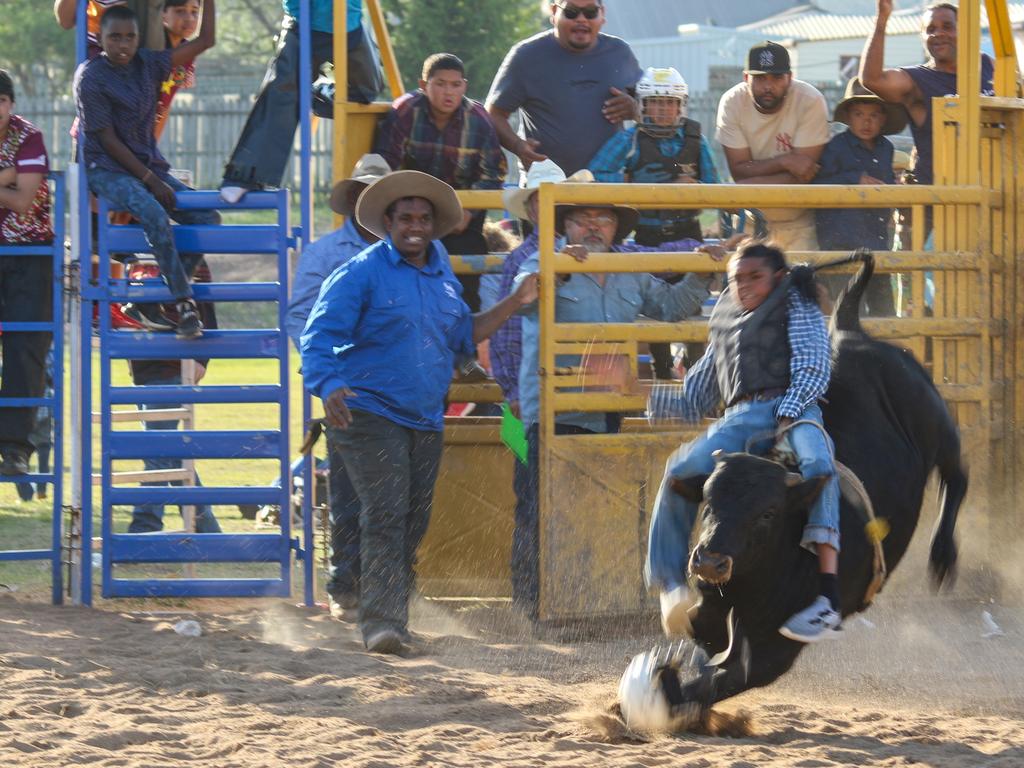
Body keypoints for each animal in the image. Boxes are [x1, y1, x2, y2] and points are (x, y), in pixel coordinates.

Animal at [667, 257, 962, 708]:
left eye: (768, 513)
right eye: (708, 500)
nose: (710, 562)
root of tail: (849, 328)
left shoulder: (774, 649)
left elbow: (723, 679)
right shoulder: (714, 609)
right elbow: (705, 633)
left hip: (937, 423)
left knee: (956, 479)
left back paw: (943, 556)